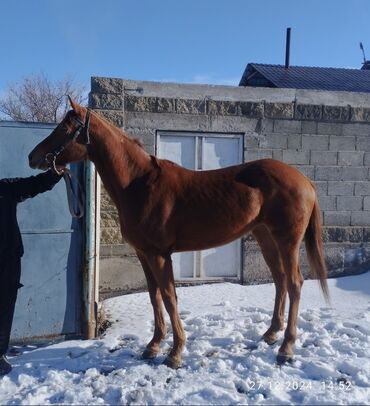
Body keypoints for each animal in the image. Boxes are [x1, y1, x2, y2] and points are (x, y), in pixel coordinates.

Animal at [29, 97, 330, 368]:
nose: (33, 157)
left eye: (65, 128)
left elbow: (169, 297)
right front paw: (153, 346)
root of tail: (305, 181)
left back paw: (286, 348)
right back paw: (270, 334)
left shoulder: (160, 255)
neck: (139, 184)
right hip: (266, 238)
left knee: (294, 283)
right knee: (280, 280)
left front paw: (174, 353)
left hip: (287, 241)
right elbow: (154, 297)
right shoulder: (144, 254)